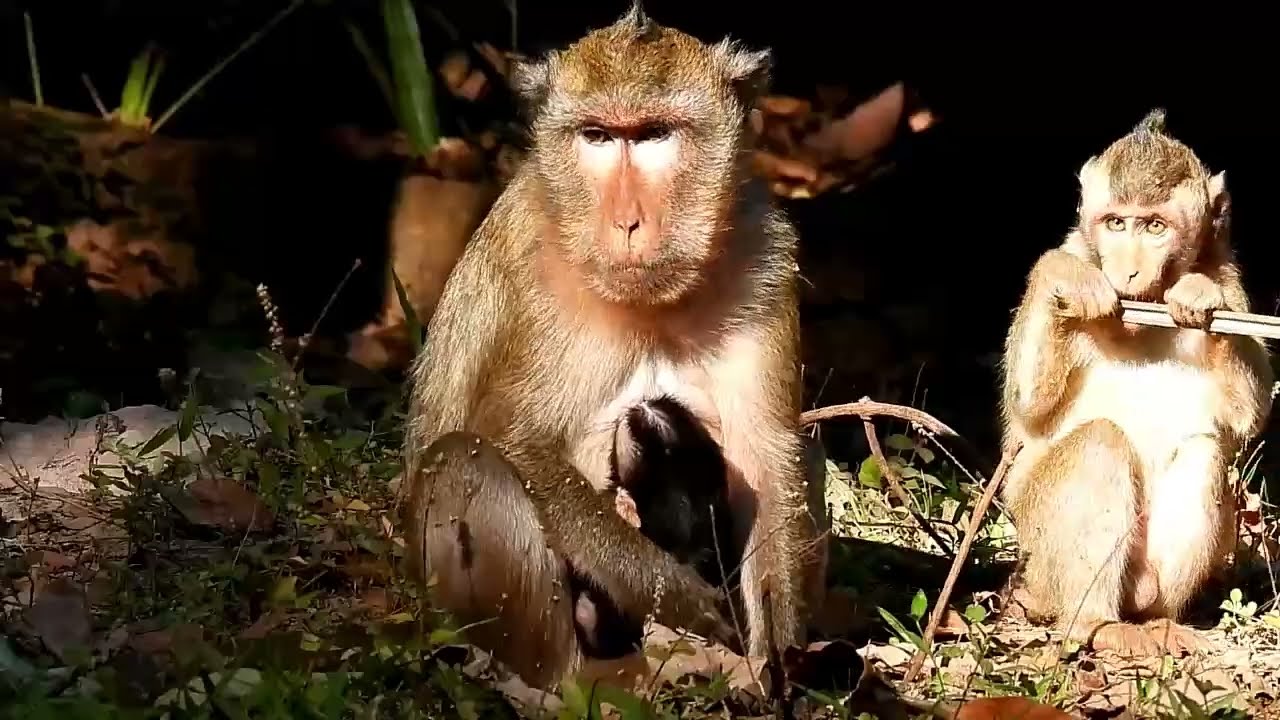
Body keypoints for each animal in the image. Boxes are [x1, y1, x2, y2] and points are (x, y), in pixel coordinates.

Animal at [401, 3, 826, 690]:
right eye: (598, 136)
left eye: (653, 135)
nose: (627, 221)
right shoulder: (533, 267)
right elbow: (513, 439)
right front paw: (675, 594)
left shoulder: (764, 255)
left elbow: (766, 453)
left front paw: (780, 665)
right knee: (465, 461)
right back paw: (572, 681)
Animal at [999, 109, 1273, 657]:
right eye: (1116, 223)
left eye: (1155, 226)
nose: (1126, 270)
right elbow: (1028, 409)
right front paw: (1063, 276)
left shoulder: (1230, 280)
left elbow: (1248, 415)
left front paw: (1196, 294)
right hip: (1035, 561)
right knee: (1098, 444)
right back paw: (1093, 622)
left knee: (1204, 450)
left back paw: (1157, 620)